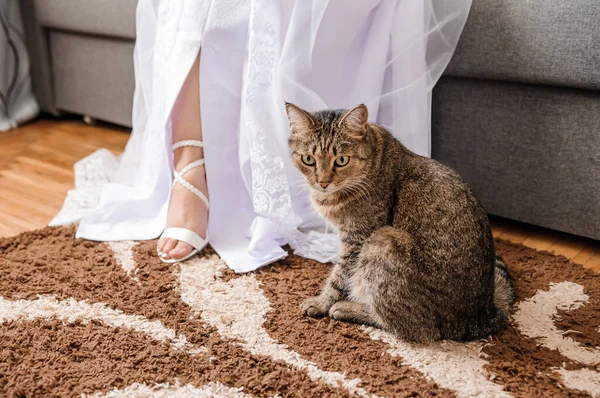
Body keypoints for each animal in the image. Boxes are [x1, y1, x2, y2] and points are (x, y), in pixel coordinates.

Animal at [284, 102, 512, 342]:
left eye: (342, 160)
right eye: (308, 159)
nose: (323, 182)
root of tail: (483, 315)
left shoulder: (359, 239)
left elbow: (340, 277)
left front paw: (321, 303)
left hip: (384, 240)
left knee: (413, 327)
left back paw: (347, 308)